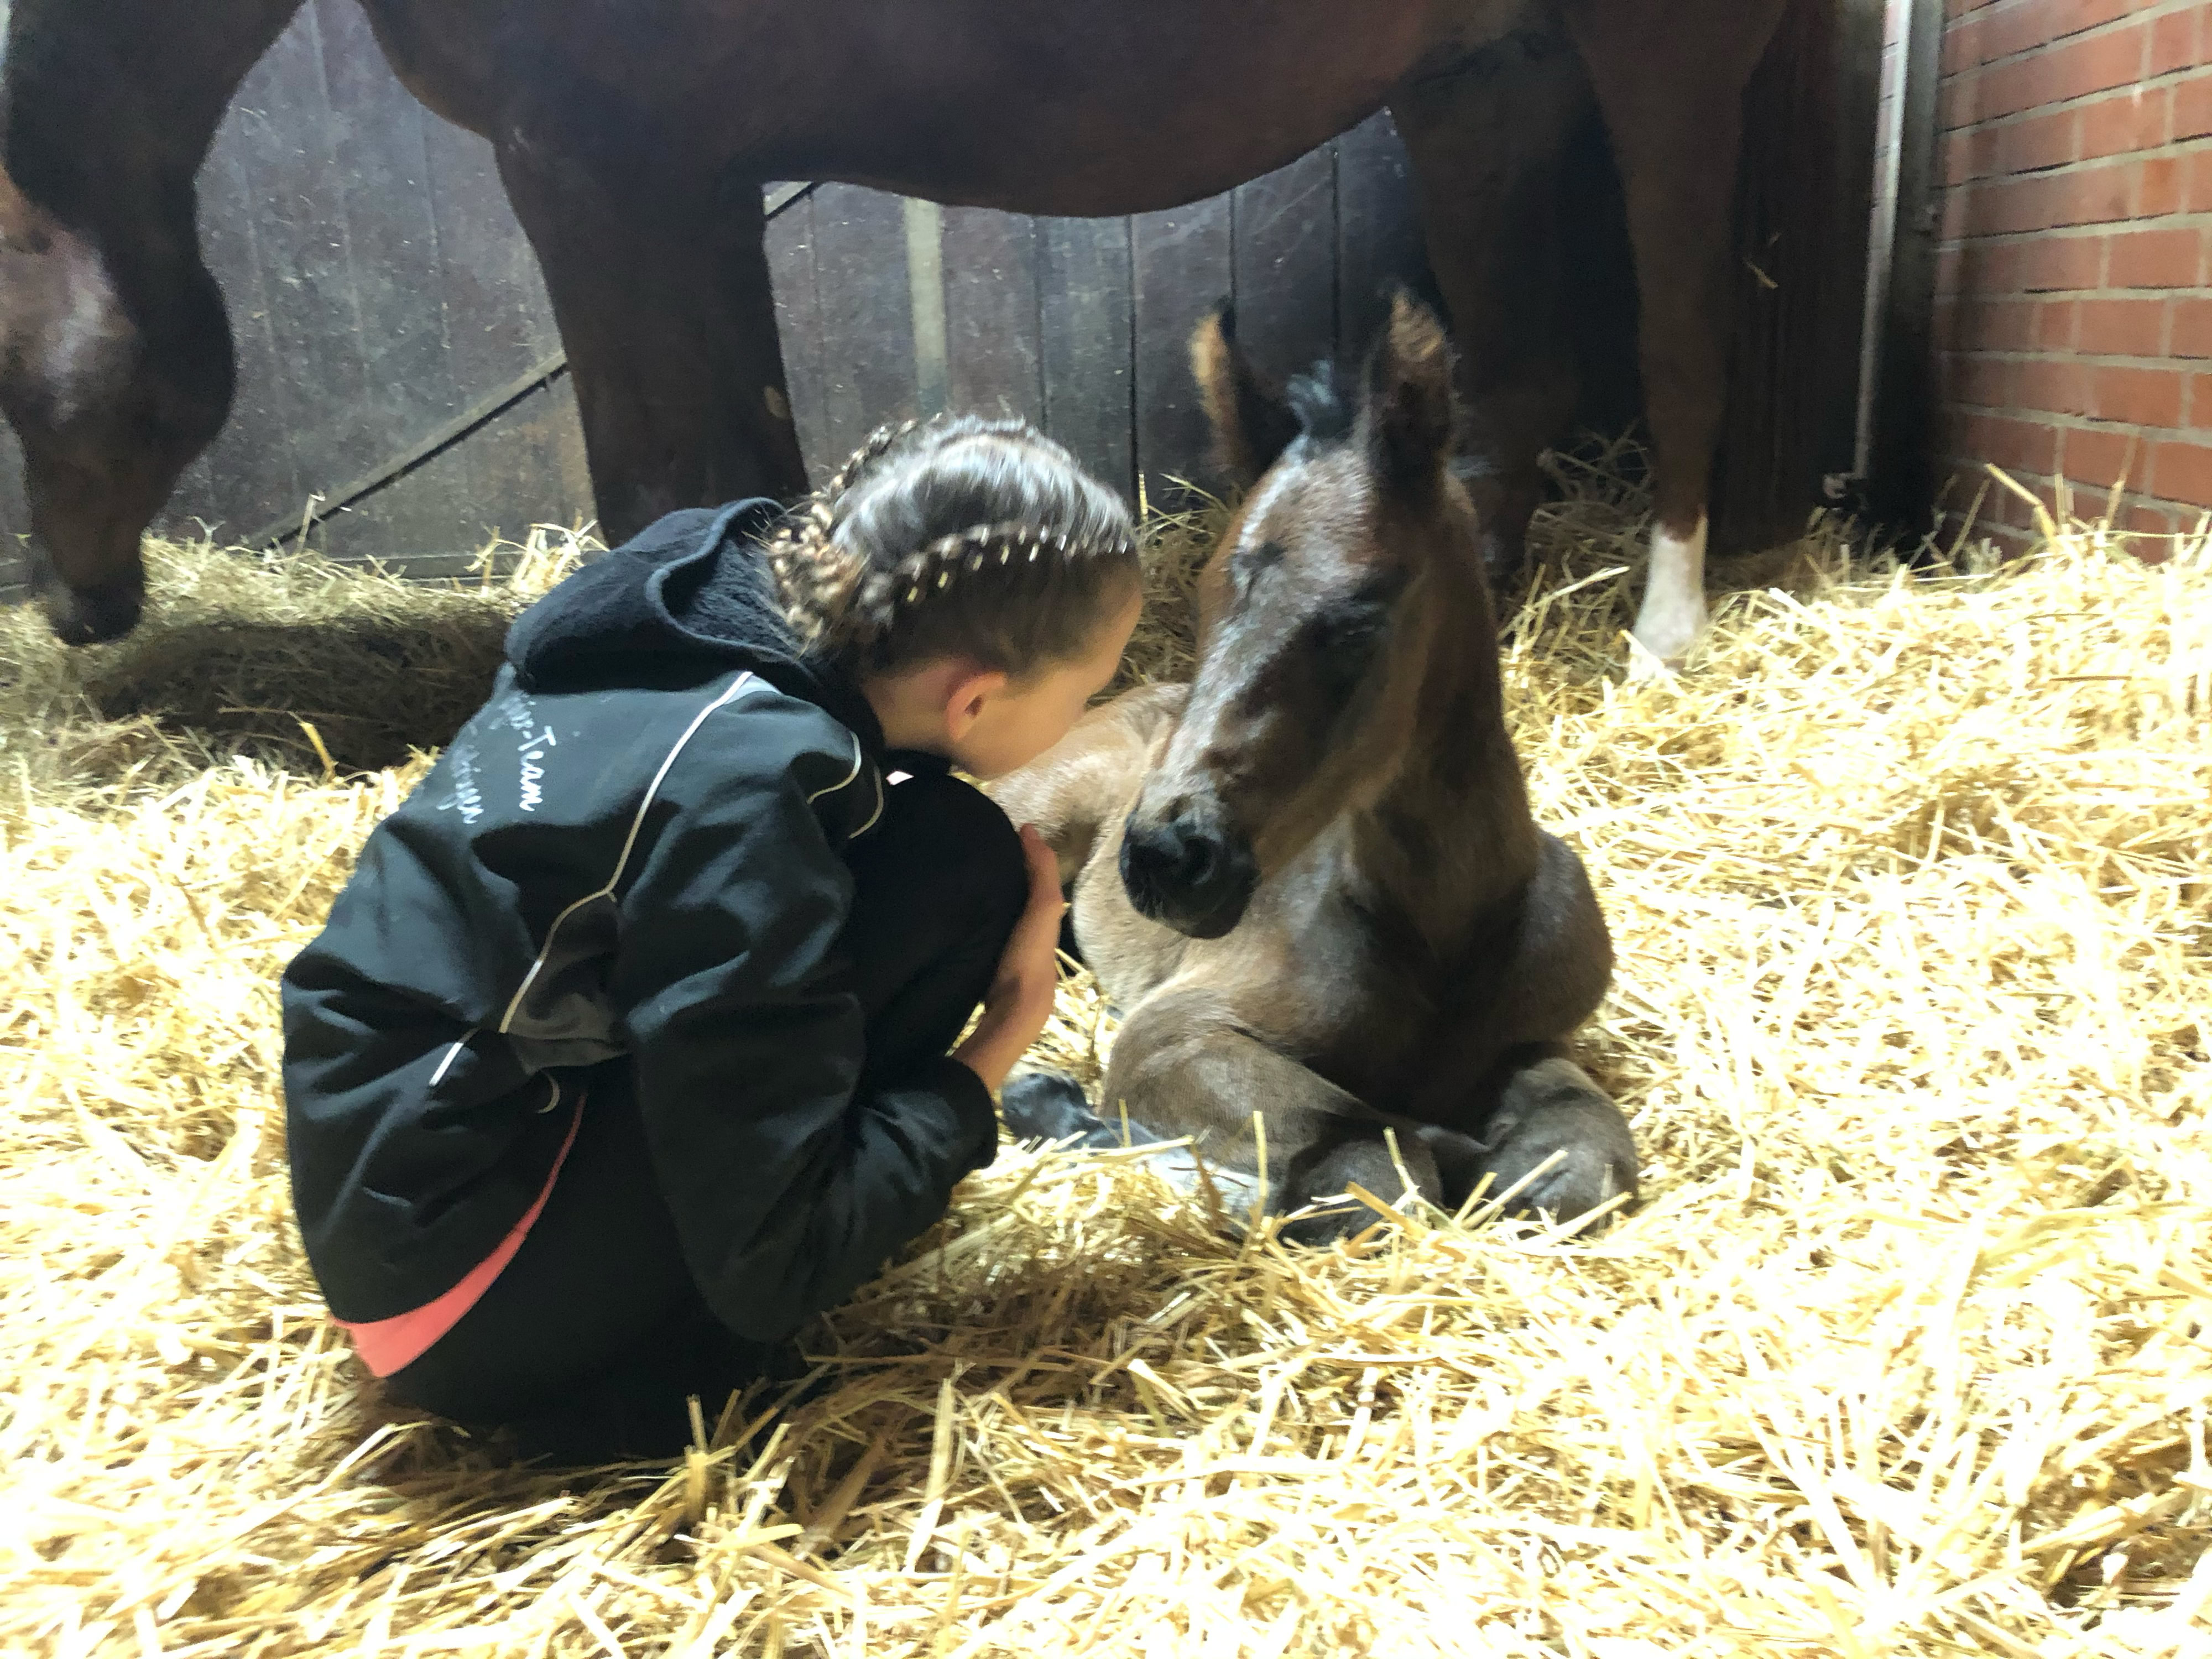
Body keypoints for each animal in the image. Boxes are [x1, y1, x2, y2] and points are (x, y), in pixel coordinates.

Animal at [0, 0, 1817, 668]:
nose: (81, 611)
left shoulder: (594, 165)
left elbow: (667, 467)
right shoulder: (684, 179)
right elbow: (743, 464)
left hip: (1665, 49)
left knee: (1685, 353)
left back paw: (1664, 640)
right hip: (1483, 79)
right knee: (1514, 385)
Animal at [989, 295, 1635, 1242]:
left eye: (1358, 621)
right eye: (1205, 597)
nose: (1168, 859)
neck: (1437, 931)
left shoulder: (1536, 1044)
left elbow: (1577, 1169)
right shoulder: (1181, 1031)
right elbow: (1380, 1172)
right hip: (1032, 815)